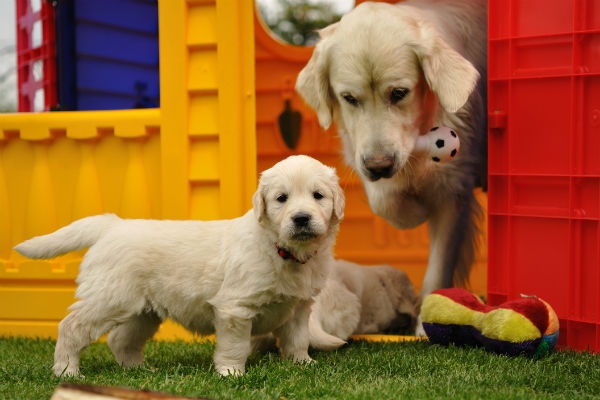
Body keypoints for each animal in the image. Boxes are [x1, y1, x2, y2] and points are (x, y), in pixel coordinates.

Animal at [15, 155, 346, 376]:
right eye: (281, 198)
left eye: (318, 195)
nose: (301, 218)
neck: (282, 249)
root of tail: (112, 225)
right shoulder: (235, 308)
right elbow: (235, 345)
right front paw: (231, 373)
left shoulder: (298, 306)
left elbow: (298, 339)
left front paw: (303, 364)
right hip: (109, 297)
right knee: (71, 327)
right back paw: (67, 371)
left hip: (143, 311)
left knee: (121, 339)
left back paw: (141, 369)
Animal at [296, 0, 488, 322]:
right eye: (349, 98)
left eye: (399, 93)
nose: (379, 165)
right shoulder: (362, 158)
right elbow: (384, 201)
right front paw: (413, 210)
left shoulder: (454, 190)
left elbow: (439, 265)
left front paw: (427, 322)